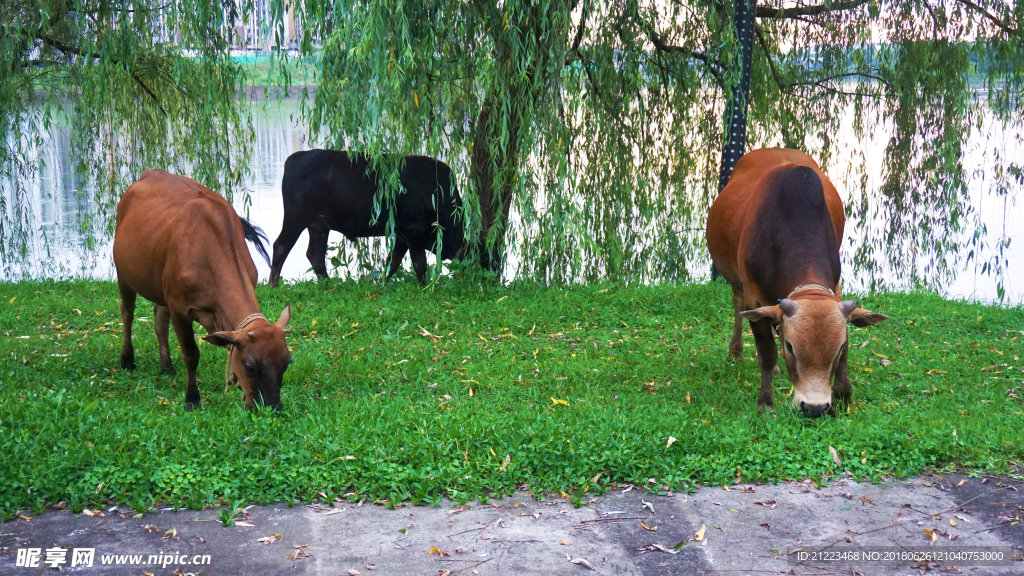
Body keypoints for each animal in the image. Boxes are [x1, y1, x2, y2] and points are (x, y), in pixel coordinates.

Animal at [113, 168, 294, 409]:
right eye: (249, 366)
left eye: (287, 363)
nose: (272, 408)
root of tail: (150, 172)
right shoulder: (179, 309)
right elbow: (191, 354)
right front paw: (192, 398)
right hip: (123, 273)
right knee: (127, 313)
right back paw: (127, 359)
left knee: (159, 320)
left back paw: (166, 367)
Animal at [270, 150, 466, 286]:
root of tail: (296, 157)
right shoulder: (414, 232)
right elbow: (419, 263)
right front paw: (424, 287)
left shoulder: (402, 236)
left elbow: (392, 262)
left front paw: (383, 283)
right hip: (296, 218)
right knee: (281, 247)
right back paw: (273, 284)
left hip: (318, 224)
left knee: (315, 255)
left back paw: (328, 283)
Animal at [704, 146, 888, 416]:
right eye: (790, 347)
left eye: (838, 348)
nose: (815, 408)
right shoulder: (753, 298)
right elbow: (767, 353)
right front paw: (765, 404)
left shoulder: (836, 290)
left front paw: (843, 395)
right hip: (737, 282)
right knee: (738, 308)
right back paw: (736, 352)